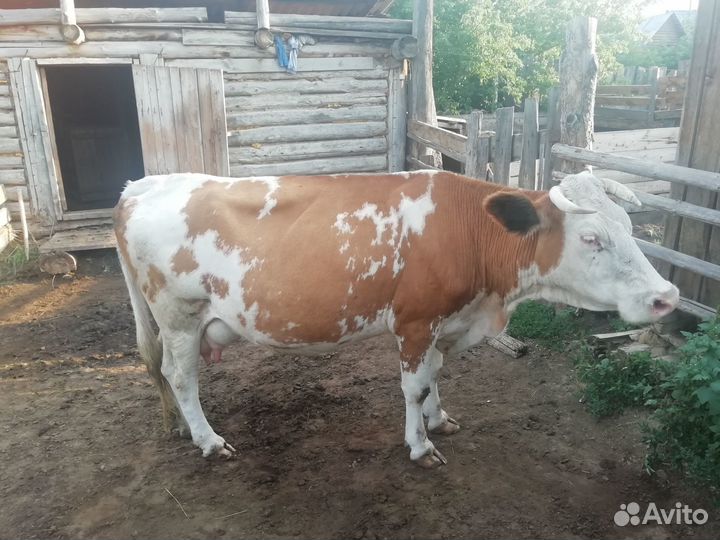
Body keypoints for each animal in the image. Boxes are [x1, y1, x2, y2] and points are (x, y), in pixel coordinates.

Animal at [114, 170, 679, 468]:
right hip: (180, 316)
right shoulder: (415, 321)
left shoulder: (446, 322)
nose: (666, 296)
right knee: (180, 377)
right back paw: (208, 440)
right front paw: (420, 445)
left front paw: (438, 419)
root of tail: (144, 184)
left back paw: (182, 428)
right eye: (591, 238)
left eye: (630, 226)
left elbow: (436, 376)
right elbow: (414, 386)